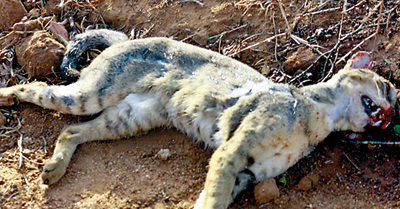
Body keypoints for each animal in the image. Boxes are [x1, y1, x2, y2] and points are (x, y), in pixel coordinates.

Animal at [0, 29, 396, 209]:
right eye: (389, 88)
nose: (392, 116)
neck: (317, 118)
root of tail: (127, 38)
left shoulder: (248, 173)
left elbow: (212, 196)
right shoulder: (233, 152)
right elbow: (214, 196)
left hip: (129, 117)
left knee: (72, 130)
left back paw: (54, 168)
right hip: (91, 94)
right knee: (37, 88)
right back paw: (6, 96)